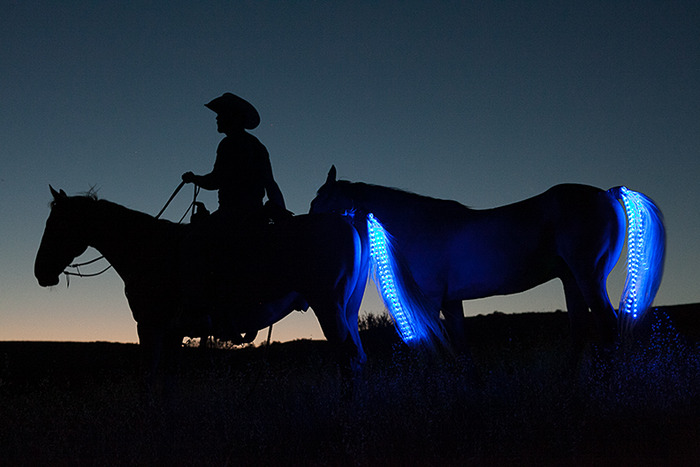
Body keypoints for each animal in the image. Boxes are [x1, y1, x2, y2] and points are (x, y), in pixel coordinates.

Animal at [35, 188, 366, 382]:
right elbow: (168, 380)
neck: (149, 248)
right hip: (347, 312)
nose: (40, 272)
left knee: (348, 358)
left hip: (328, 307)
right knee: (358, 358)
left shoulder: (150, 326)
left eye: (56, 224)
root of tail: (348, 224)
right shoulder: (174, 332)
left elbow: (148, 377)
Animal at [308, 168, 664, 354]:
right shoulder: (451, 302)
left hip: (588, 276)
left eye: (319, 200)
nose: (305, 227)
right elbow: (461, 351)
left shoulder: (431, 301)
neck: (420, 225)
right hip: (572, 280)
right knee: (581, 333)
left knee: (607, 328)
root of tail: (607, 193)